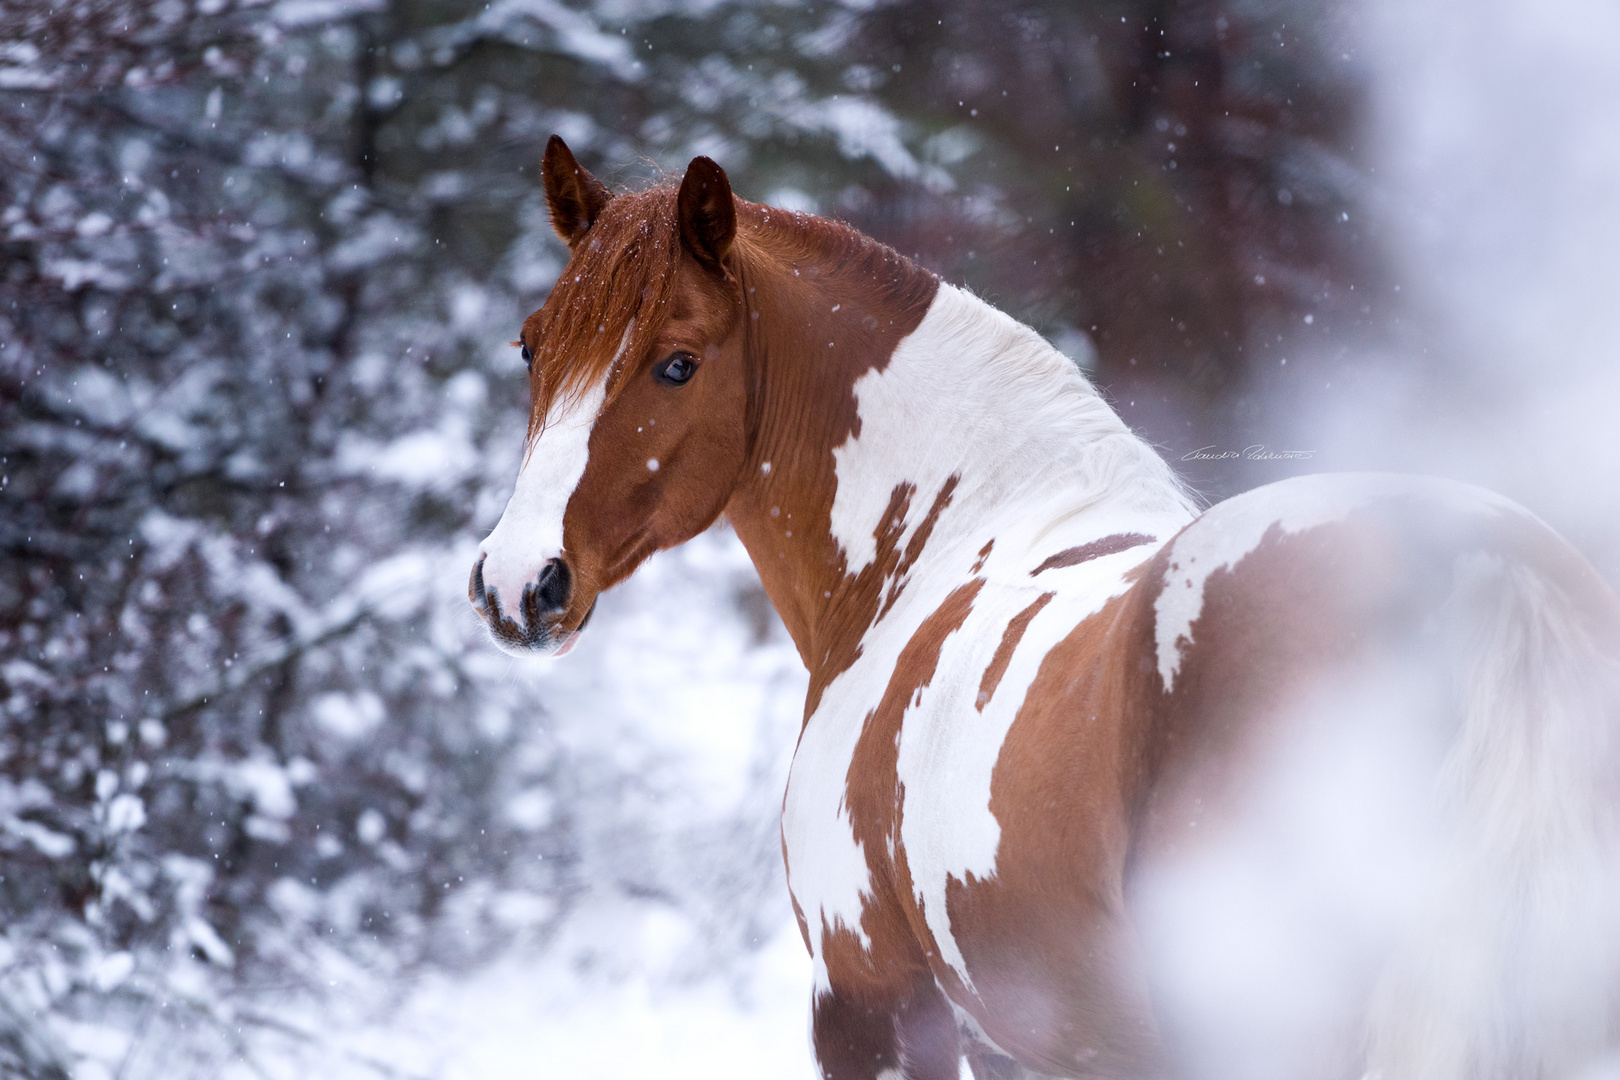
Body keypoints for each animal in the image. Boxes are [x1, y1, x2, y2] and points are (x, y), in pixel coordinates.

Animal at [466, 137, 1620, 1080]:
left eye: (677, 362)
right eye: (531, 345)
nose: (521, 581)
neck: (932, 543)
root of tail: (1484, 575)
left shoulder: (873, 1007)